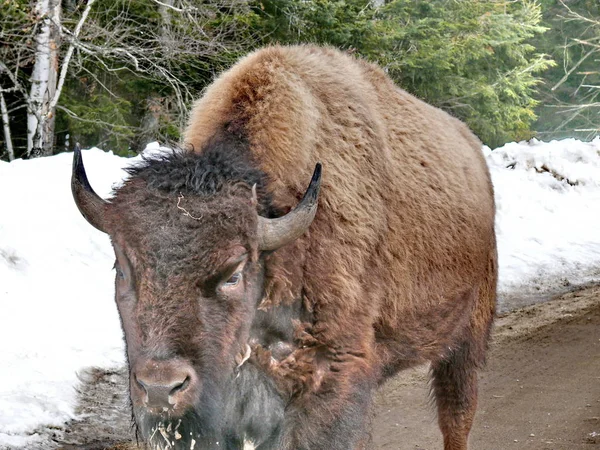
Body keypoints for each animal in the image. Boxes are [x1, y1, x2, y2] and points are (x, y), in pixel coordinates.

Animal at [71, 45, 496, 450]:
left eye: (234, 273)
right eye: (123, 269)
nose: (161, 388)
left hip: (467, 338)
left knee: (457, 415)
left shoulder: (332, 377)